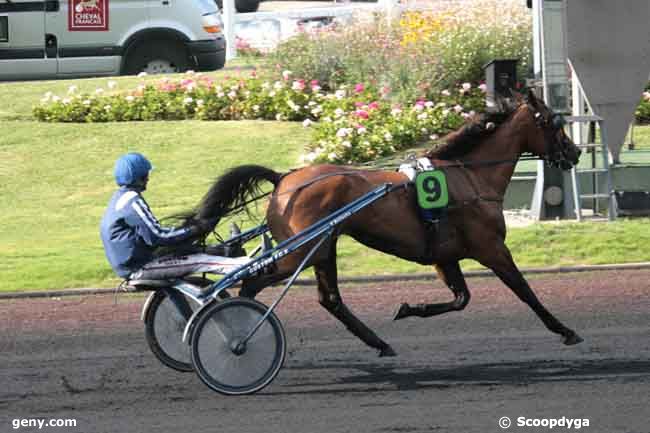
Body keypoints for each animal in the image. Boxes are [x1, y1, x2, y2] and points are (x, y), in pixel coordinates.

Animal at [187, 90, 584, 354]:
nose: (576, 151)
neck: (470, 177)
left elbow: (461, 299)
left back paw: (379, 343)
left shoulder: (445, 256)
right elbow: (525, 291)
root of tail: (285, 178)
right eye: (553, 122)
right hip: (300, 251)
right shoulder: (492, 248)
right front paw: (565, 330)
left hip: (322, 249)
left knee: (329, 299)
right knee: (252, 284)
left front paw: (408, 308)